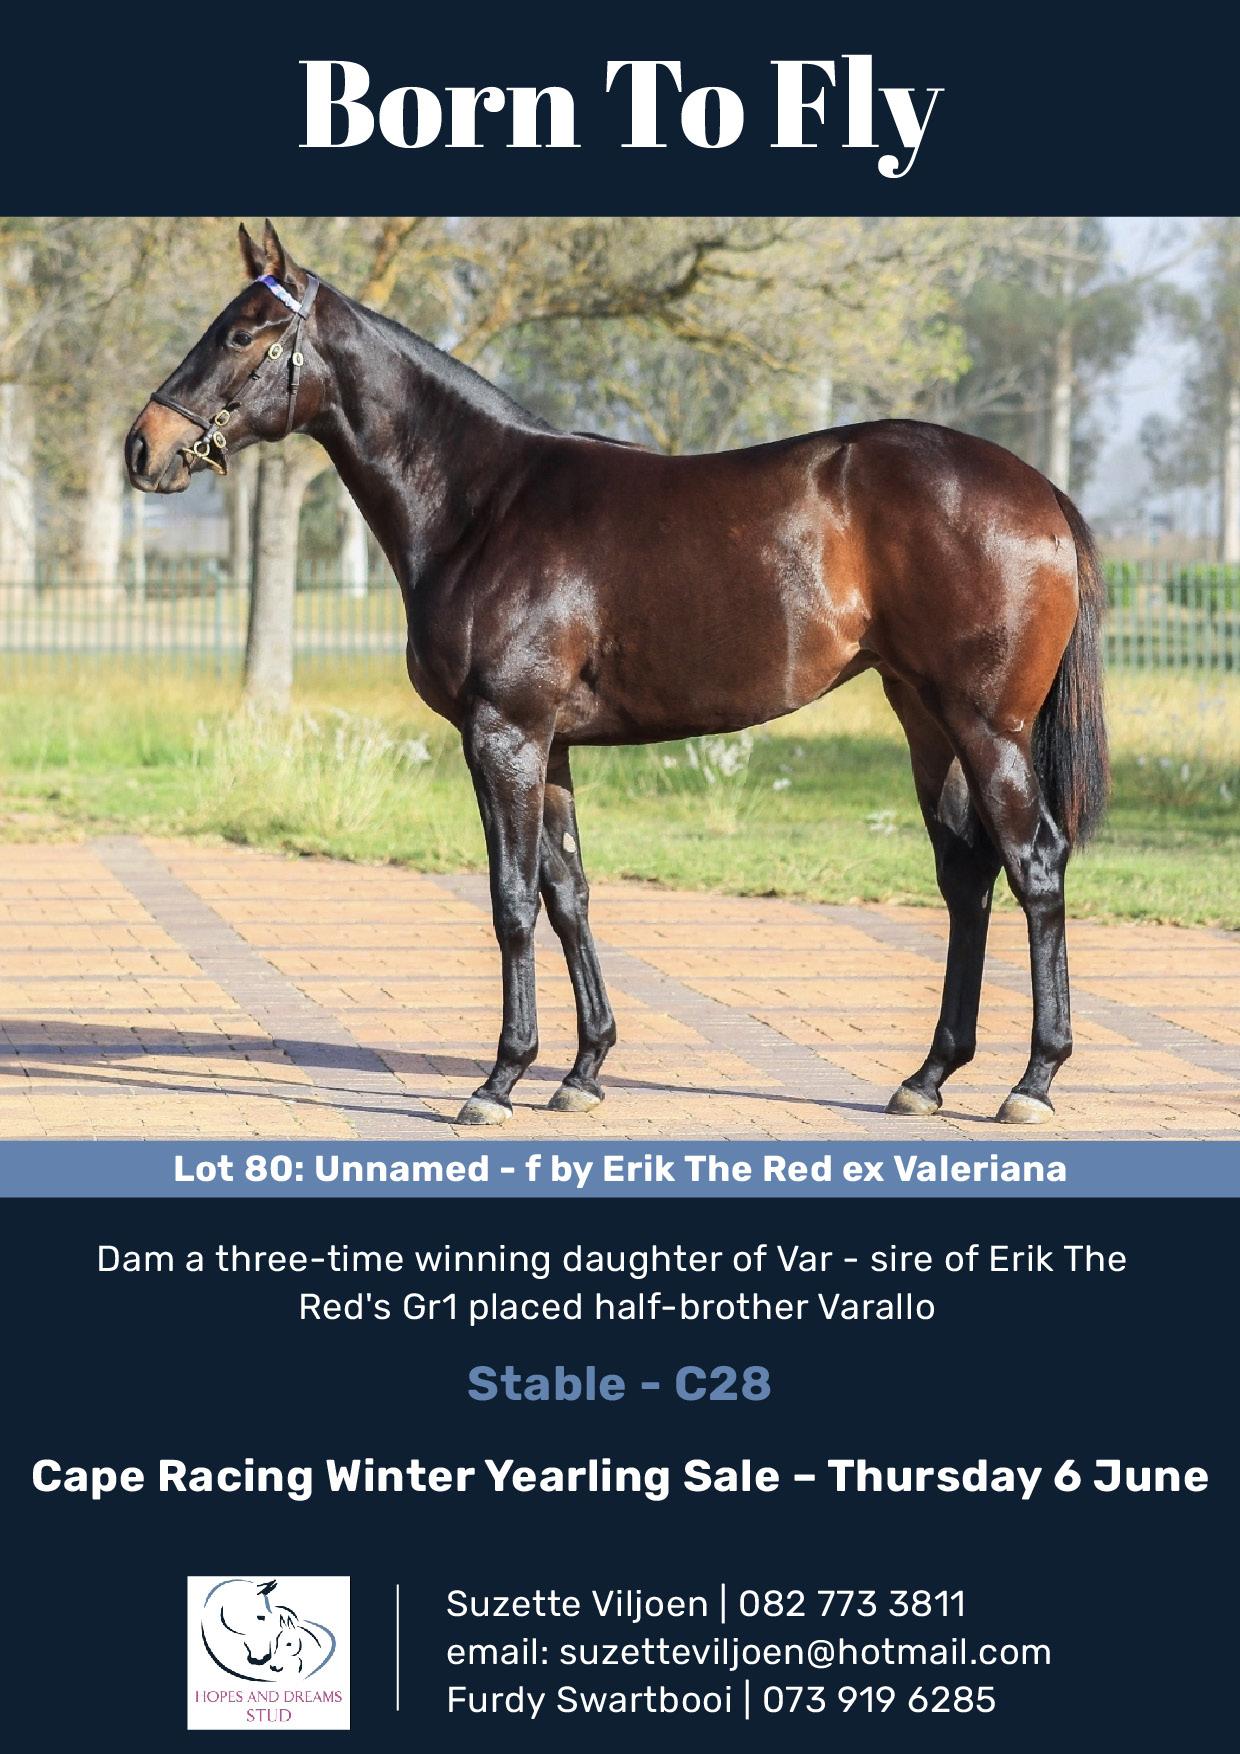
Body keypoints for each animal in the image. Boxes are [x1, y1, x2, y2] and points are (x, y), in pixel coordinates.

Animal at [126, 221, 1109, 1129]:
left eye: (242, 333)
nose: (143, 446)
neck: (484, 504)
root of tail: (1039, 492)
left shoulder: (503, 735)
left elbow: (512, 901)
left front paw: (501, 1078)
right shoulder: (549, 747)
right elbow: (569, 895)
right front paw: (585, 1068)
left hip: (987, 727)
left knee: (1035, 865)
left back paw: (1034, 1080)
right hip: (925, 721)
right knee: (966, 877)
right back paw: (930, 1075)